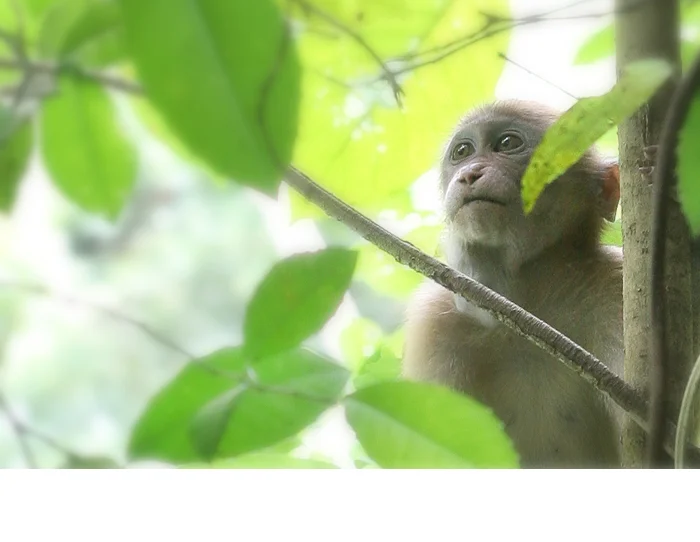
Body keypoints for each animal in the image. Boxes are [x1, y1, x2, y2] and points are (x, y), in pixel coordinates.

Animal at [402, 100, 624, 468]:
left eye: (507, 143)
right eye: (462, 152)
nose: (469, 173)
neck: (531, 305)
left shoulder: (616, 289)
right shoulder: (434, 324)